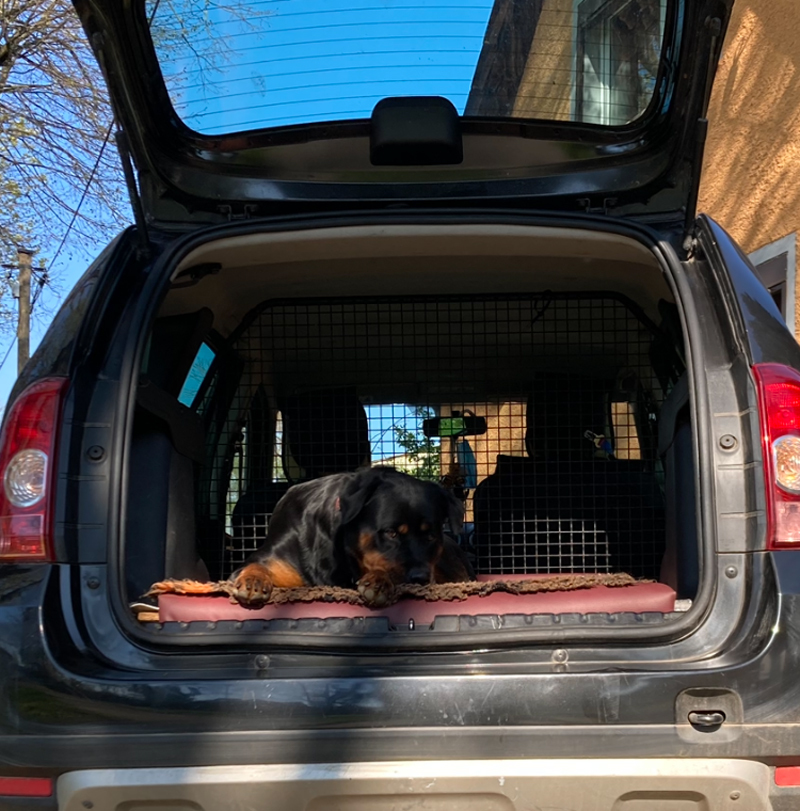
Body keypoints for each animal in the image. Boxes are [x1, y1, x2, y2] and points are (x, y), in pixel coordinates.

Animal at [229, 467, 475, 608]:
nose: (420, 578)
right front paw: (253, 580)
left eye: (431, 535)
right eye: (391, 533)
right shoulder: (274, 560)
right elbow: (255, 566)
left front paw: (378, 581)